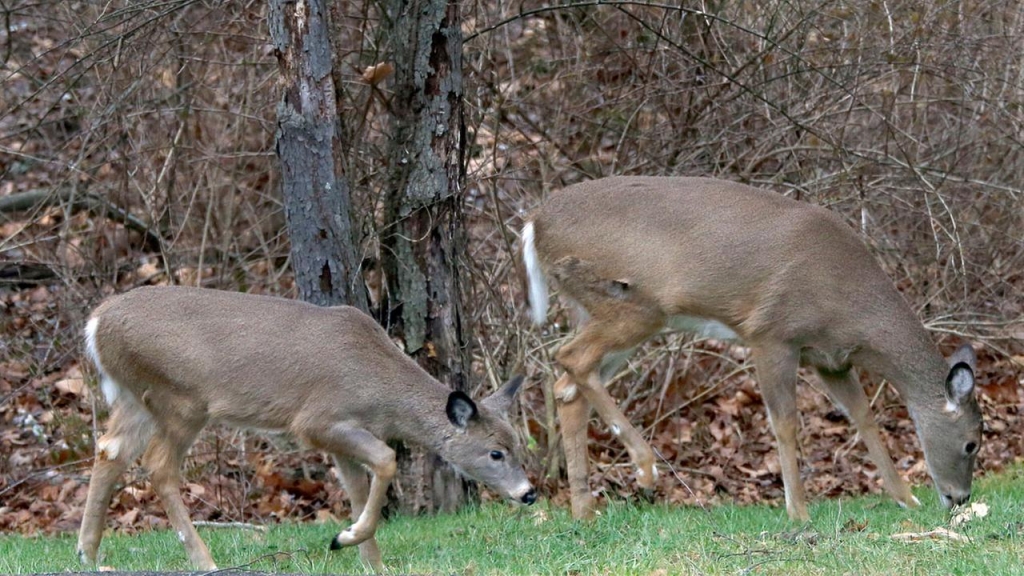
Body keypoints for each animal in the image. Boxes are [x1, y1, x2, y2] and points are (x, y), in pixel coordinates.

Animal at [78, 286, 536, 569]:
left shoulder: (341, 436)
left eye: (518, 445)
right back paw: (204, 561)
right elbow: (386, 459)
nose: (528, 493)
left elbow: (358, 488)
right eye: (495, 452)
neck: (380, 389)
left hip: (134, 397)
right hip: (181, 398)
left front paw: (368, 557)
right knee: (158, 465)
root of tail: (95, 323)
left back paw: (89, 555)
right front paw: (346, 539)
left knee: (109, 449)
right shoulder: (316, 419)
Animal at [528, 172, 983, 518]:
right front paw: (798, 513)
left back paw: (585, 512)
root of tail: (534, 222)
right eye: (971, 442)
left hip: (596, 311)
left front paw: (905, 499)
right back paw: (643, 468)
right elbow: (785, 423)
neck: (852, 308)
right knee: (569, 357)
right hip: (632, 303)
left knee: (567, 387)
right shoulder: (771, 333)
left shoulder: (830, 358)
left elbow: (863, 417)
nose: (960, 498)